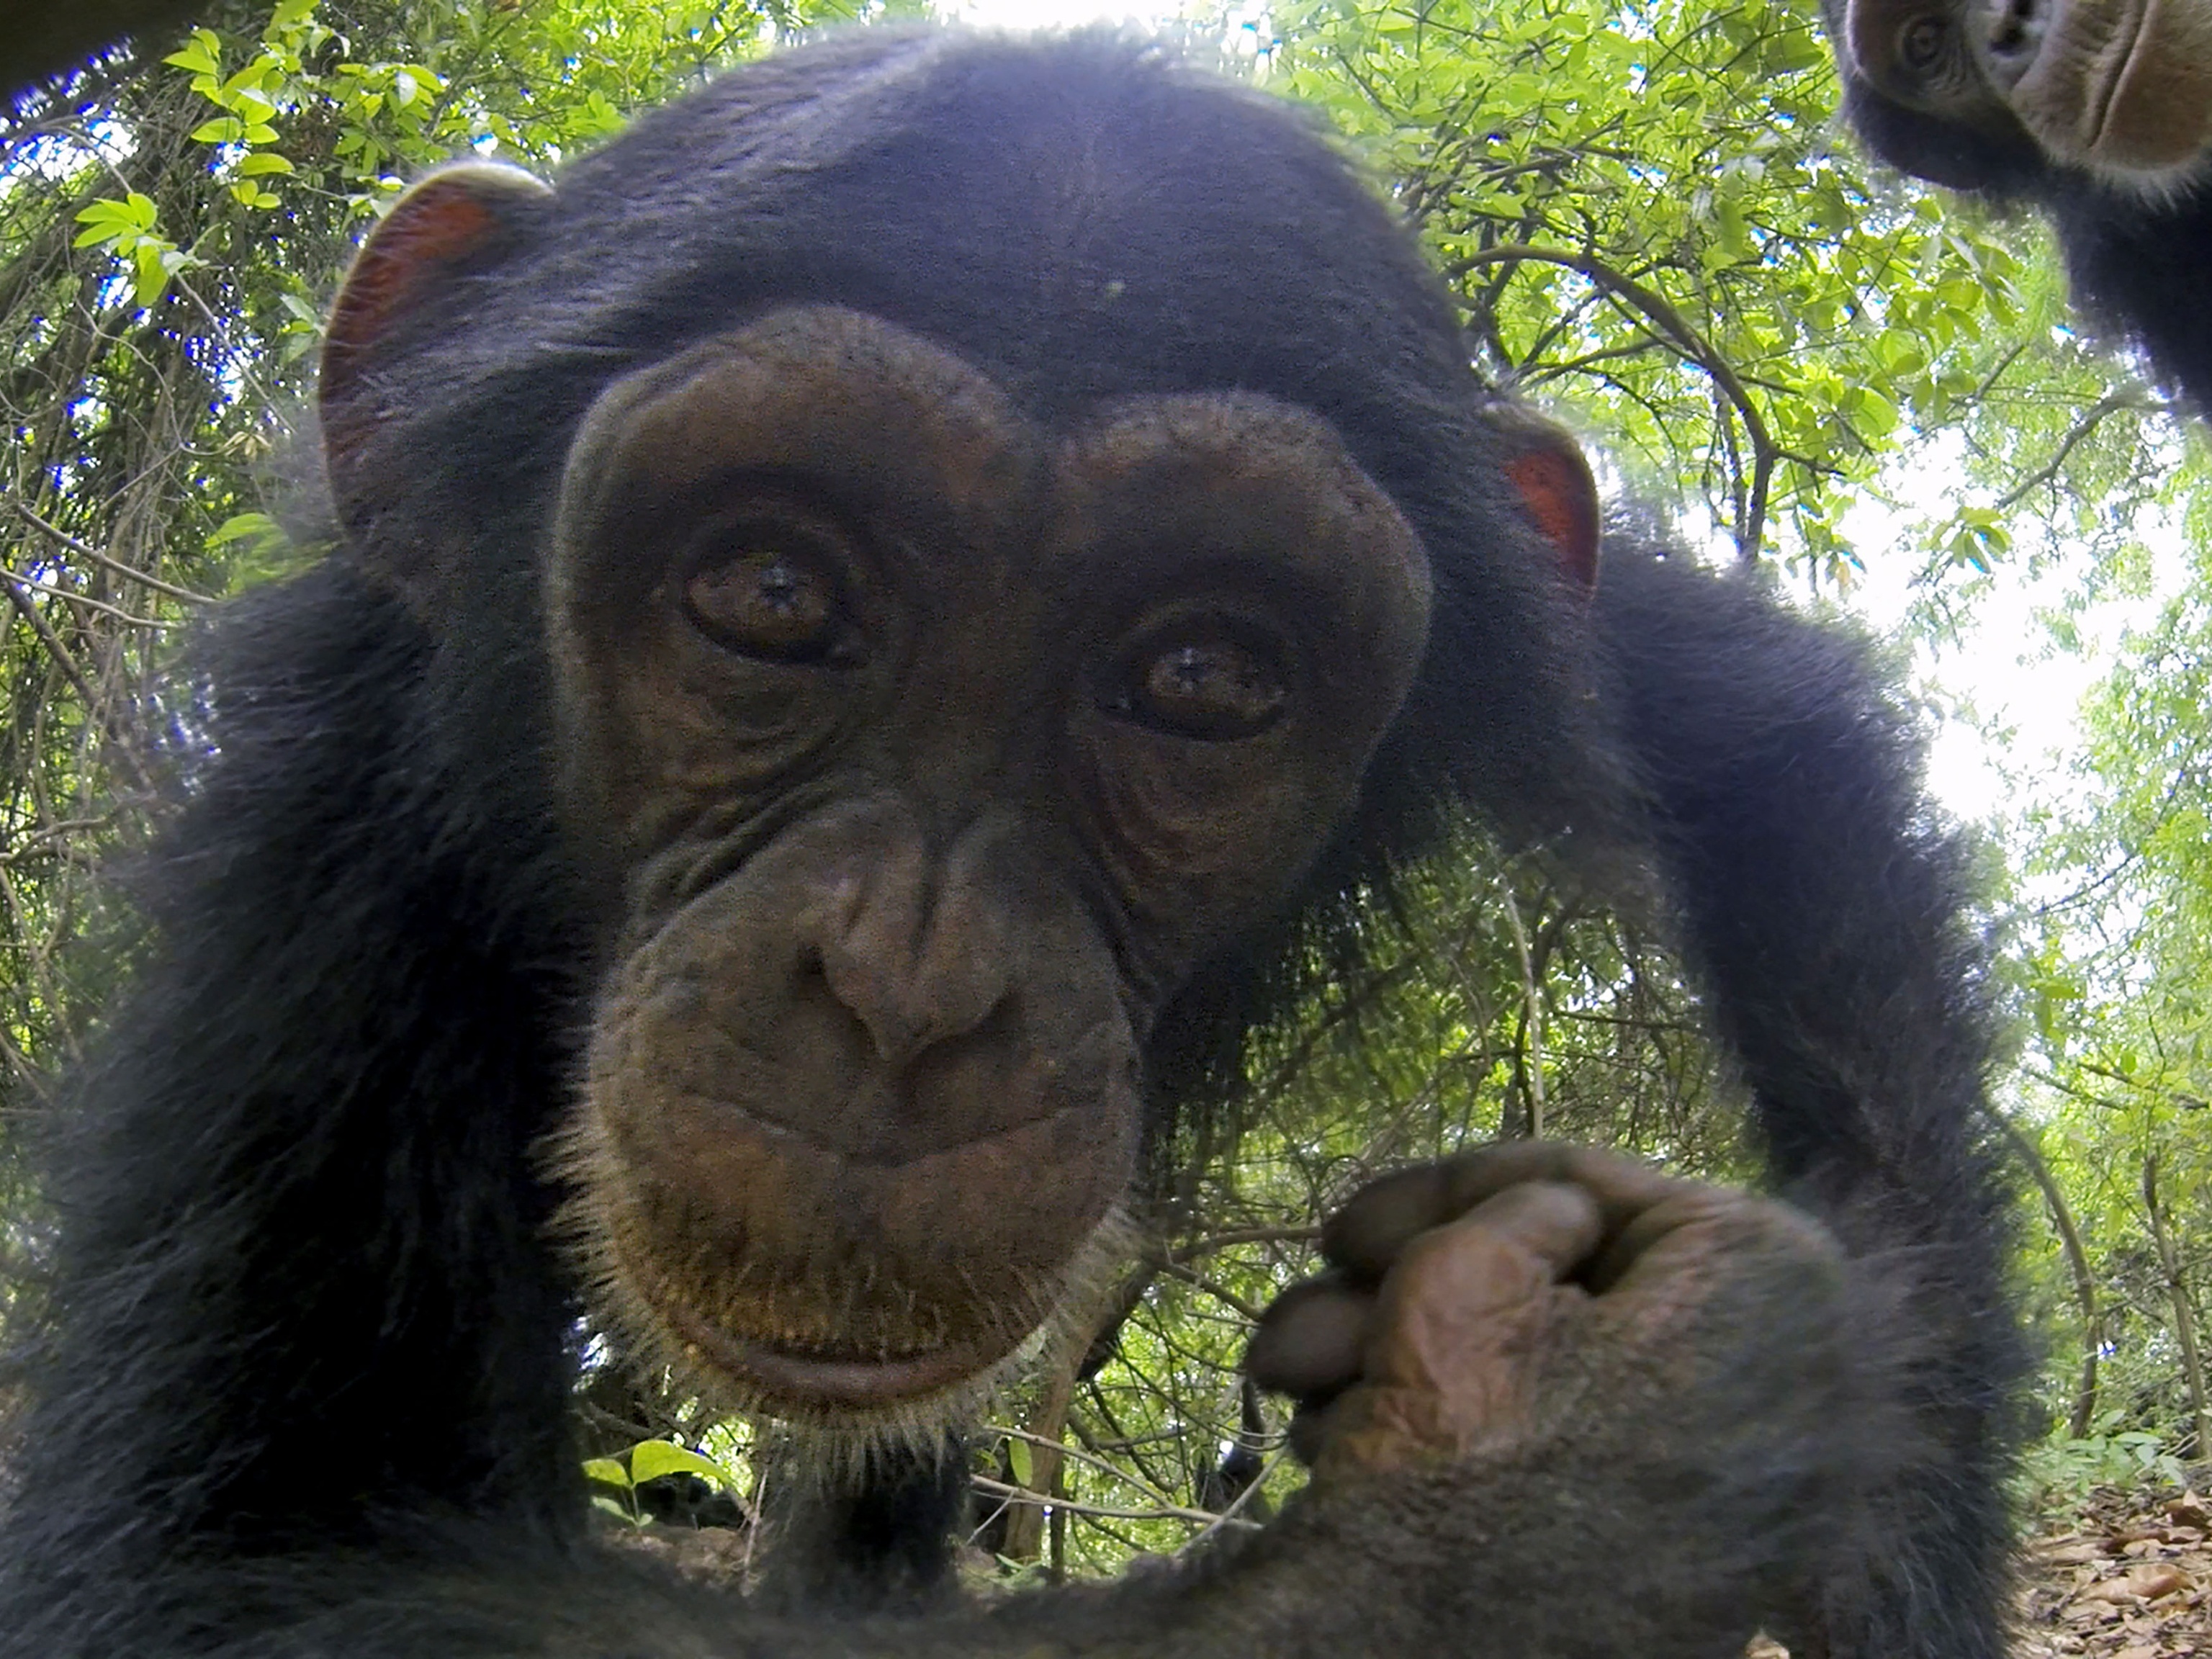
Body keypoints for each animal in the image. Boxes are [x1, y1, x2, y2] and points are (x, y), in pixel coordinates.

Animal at [0, 26, 2026, 1659]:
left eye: (1201, 676)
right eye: (768, 590)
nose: (908, 987)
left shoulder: (1561, 623)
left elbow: (1776, 761)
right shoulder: (330, 825)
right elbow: (233, 1554)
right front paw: (1548, 1470)